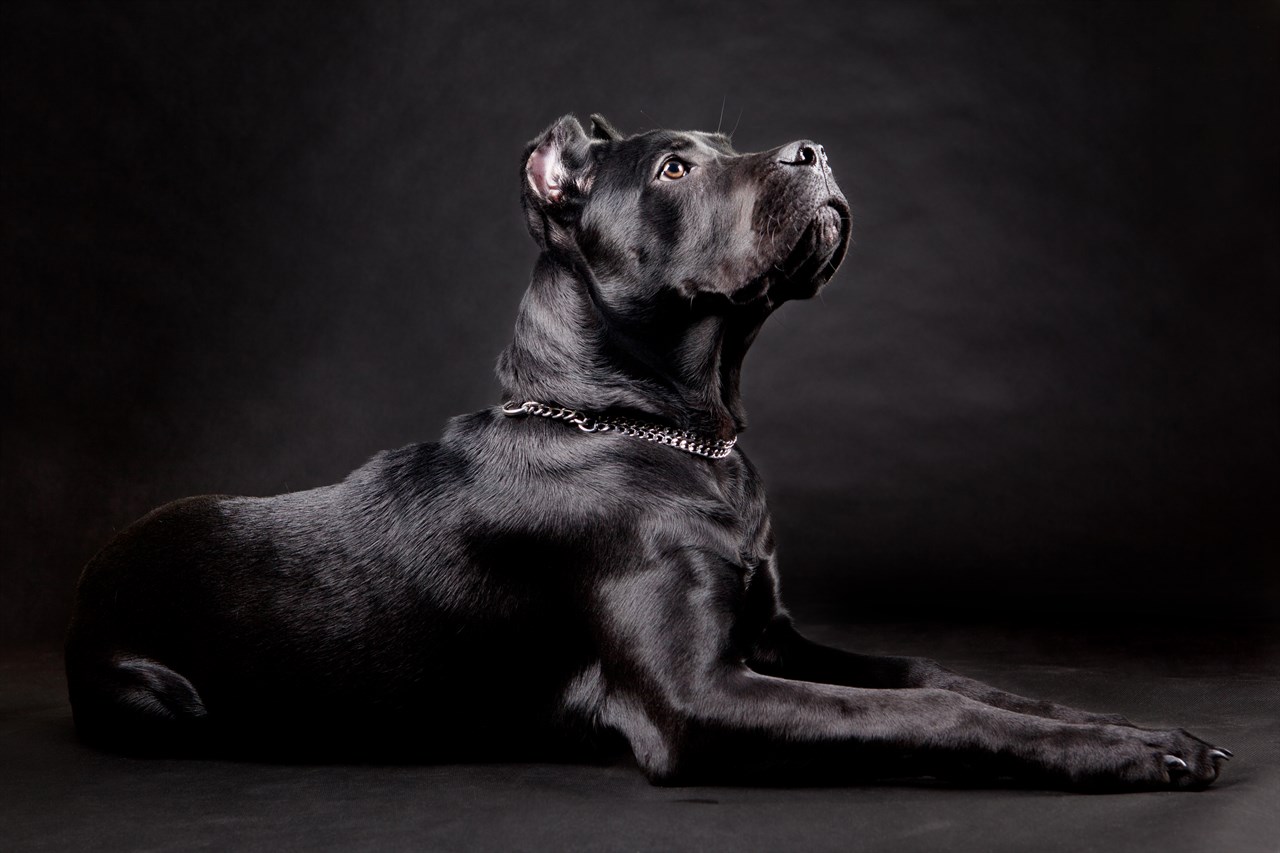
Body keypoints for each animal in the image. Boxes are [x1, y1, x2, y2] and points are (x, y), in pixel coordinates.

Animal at [67, 111, 1228, 783]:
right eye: (673, 168)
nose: (816, 151)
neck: (664, 430)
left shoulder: (773, 639)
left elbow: (942, 676)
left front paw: (1138, 727)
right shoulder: (699, 697)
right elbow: (927, 711)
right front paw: (1129, 752)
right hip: (153, 696)